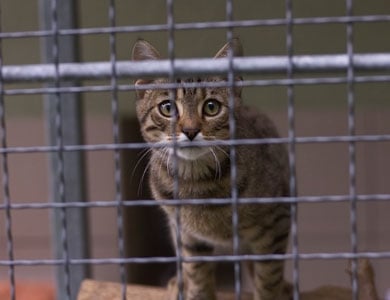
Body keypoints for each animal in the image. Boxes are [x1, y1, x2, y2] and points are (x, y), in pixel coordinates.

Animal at [133, 38, 290, 300]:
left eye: (211, 107)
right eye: (167, 108)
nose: (190, 130)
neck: (197, 183)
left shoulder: (276, 222)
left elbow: (269, 275)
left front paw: (270, 293)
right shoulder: (189, 236)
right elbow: (197, 271)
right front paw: (197, 290)